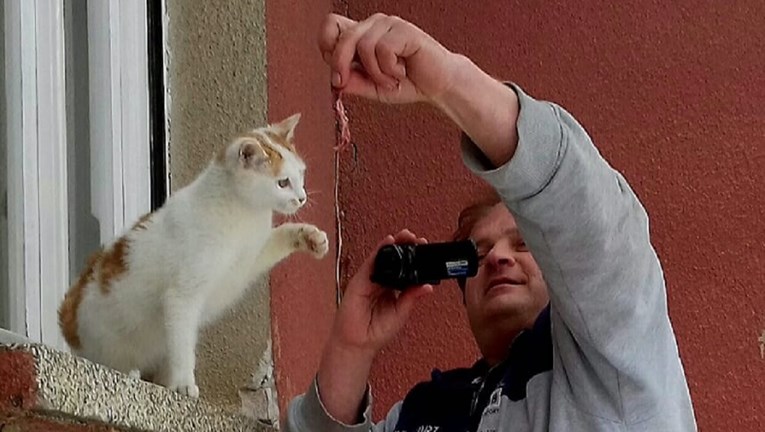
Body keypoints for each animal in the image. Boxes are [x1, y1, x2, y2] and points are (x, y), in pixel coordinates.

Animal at [56, 113, 326, 396]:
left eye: (301, 174)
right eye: (282, 183)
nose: (302, 198)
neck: (243, 212)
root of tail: (68, 320)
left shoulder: (246, 262)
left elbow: (275, 240)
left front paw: (310, 237)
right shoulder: (182, 295)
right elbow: (183, 345)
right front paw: (184, 383)